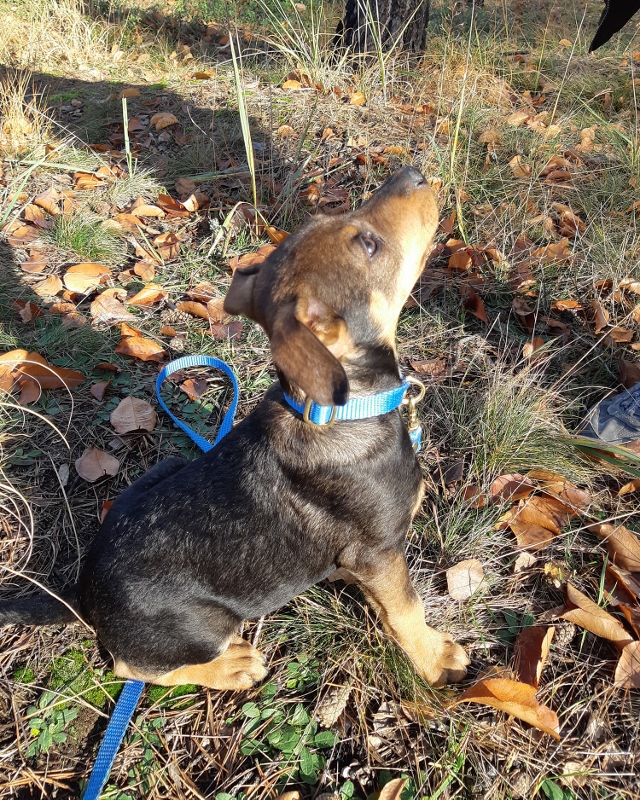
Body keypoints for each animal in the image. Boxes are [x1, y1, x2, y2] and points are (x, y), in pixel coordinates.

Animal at [0, 167, 469, 690]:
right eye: (369, 244)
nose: (414, 174)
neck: (340, 413)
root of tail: (80, 596)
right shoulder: (380, 553)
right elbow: (407, 609)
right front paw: (436, 659)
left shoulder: (369, 559)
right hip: (203, 624)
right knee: (132, 665)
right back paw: (232, 665)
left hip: (168, 465)